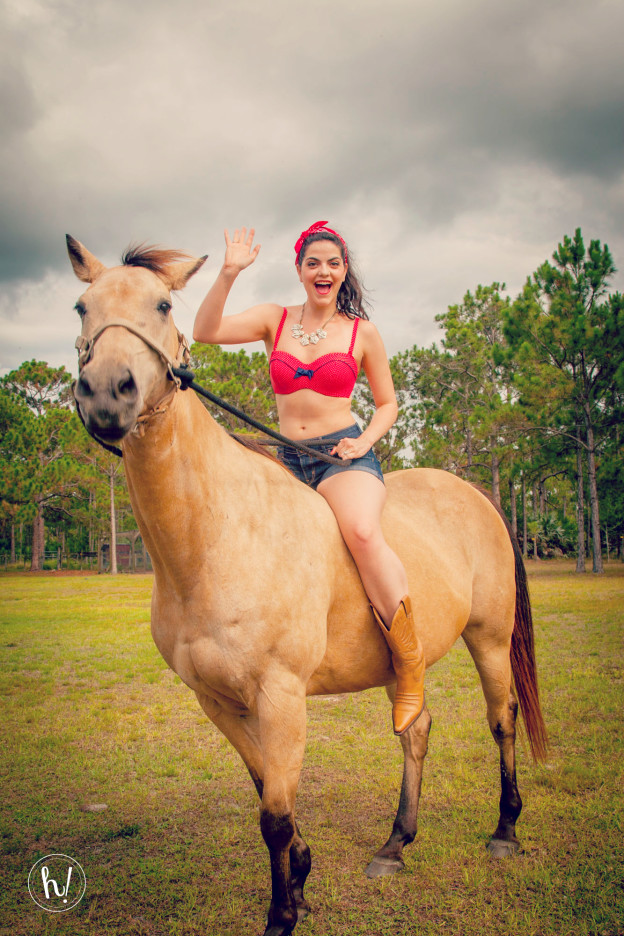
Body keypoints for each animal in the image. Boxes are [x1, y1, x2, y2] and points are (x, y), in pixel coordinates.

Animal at [68, 239, 544, 936]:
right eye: (82, 306)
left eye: (162, 305)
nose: (106, 395)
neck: (219, 536)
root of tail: (477, 495)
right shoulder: (217, 702)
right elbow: (268, 795)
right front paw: (301, 875)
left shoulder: (282, 697)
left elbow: (273, 815)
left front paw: (282, 912)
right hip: (404, 665)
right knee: (416, 728)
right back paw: (395, 844)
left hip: (488, 639)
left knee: (501, 719)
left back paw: (505, 831)